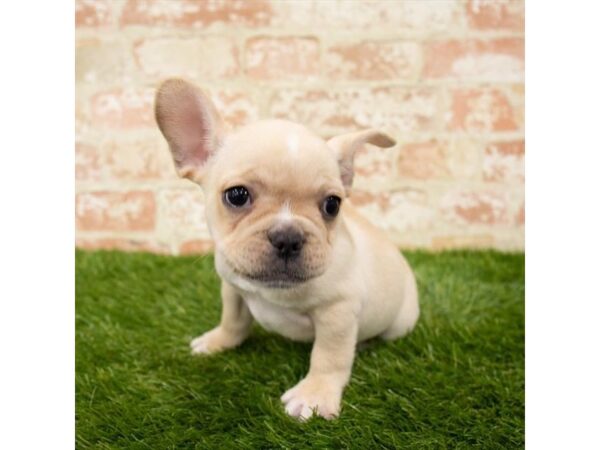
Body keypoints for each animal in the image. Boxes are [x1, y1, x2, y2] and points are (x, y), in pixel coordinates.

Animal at [154, 79, 418, 420]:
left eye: (332, 205)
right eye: (236, 195)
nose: (288, 237)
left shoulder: (338, 312)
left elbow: (329, 356)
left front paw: (315, 394)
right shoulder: (233, 287)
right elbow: (233, 320)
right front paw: (219, 341)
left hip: (400, 321)